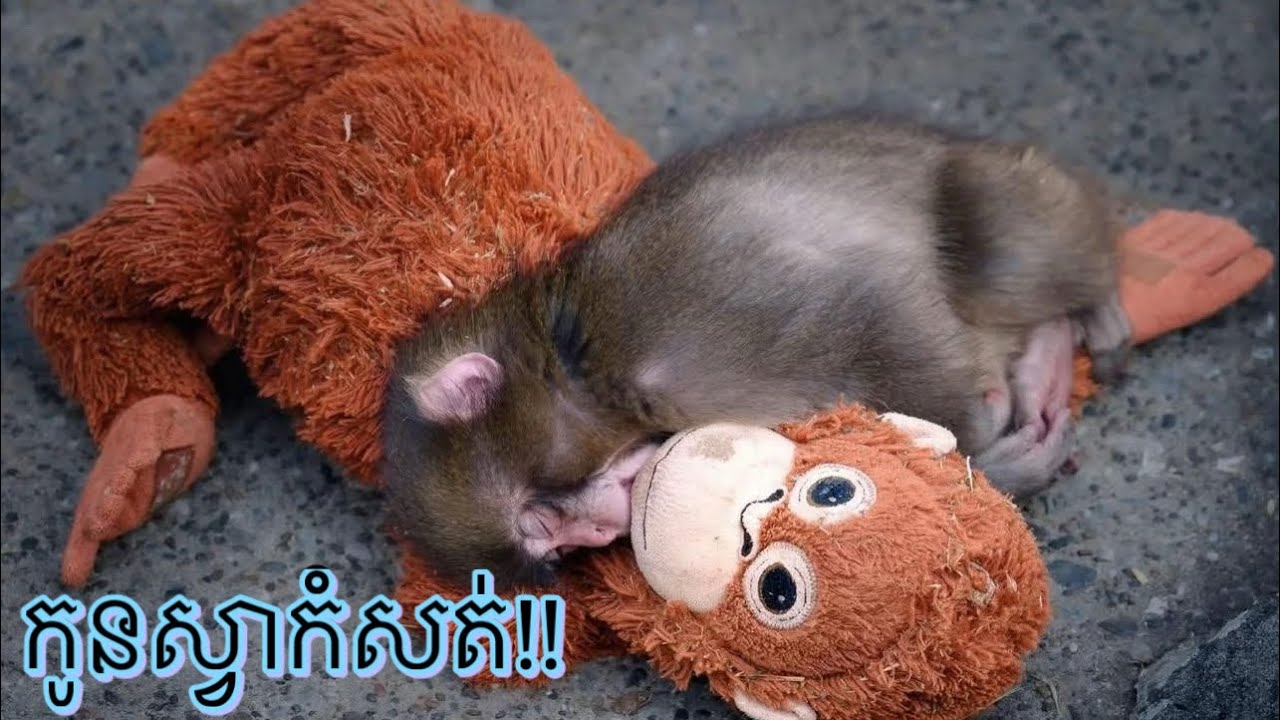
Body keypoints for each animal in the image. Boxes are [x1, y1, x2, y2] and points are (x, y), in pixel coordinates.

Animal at [380, 114, 1131, 588]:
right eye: (556, 548)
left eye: (541, 521)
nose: (594, 534)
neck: (579, 365)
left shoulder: (671, 335)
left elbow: (875, 305)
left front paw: (981, 444)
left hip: (1001, 190)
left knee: (1001, 251)